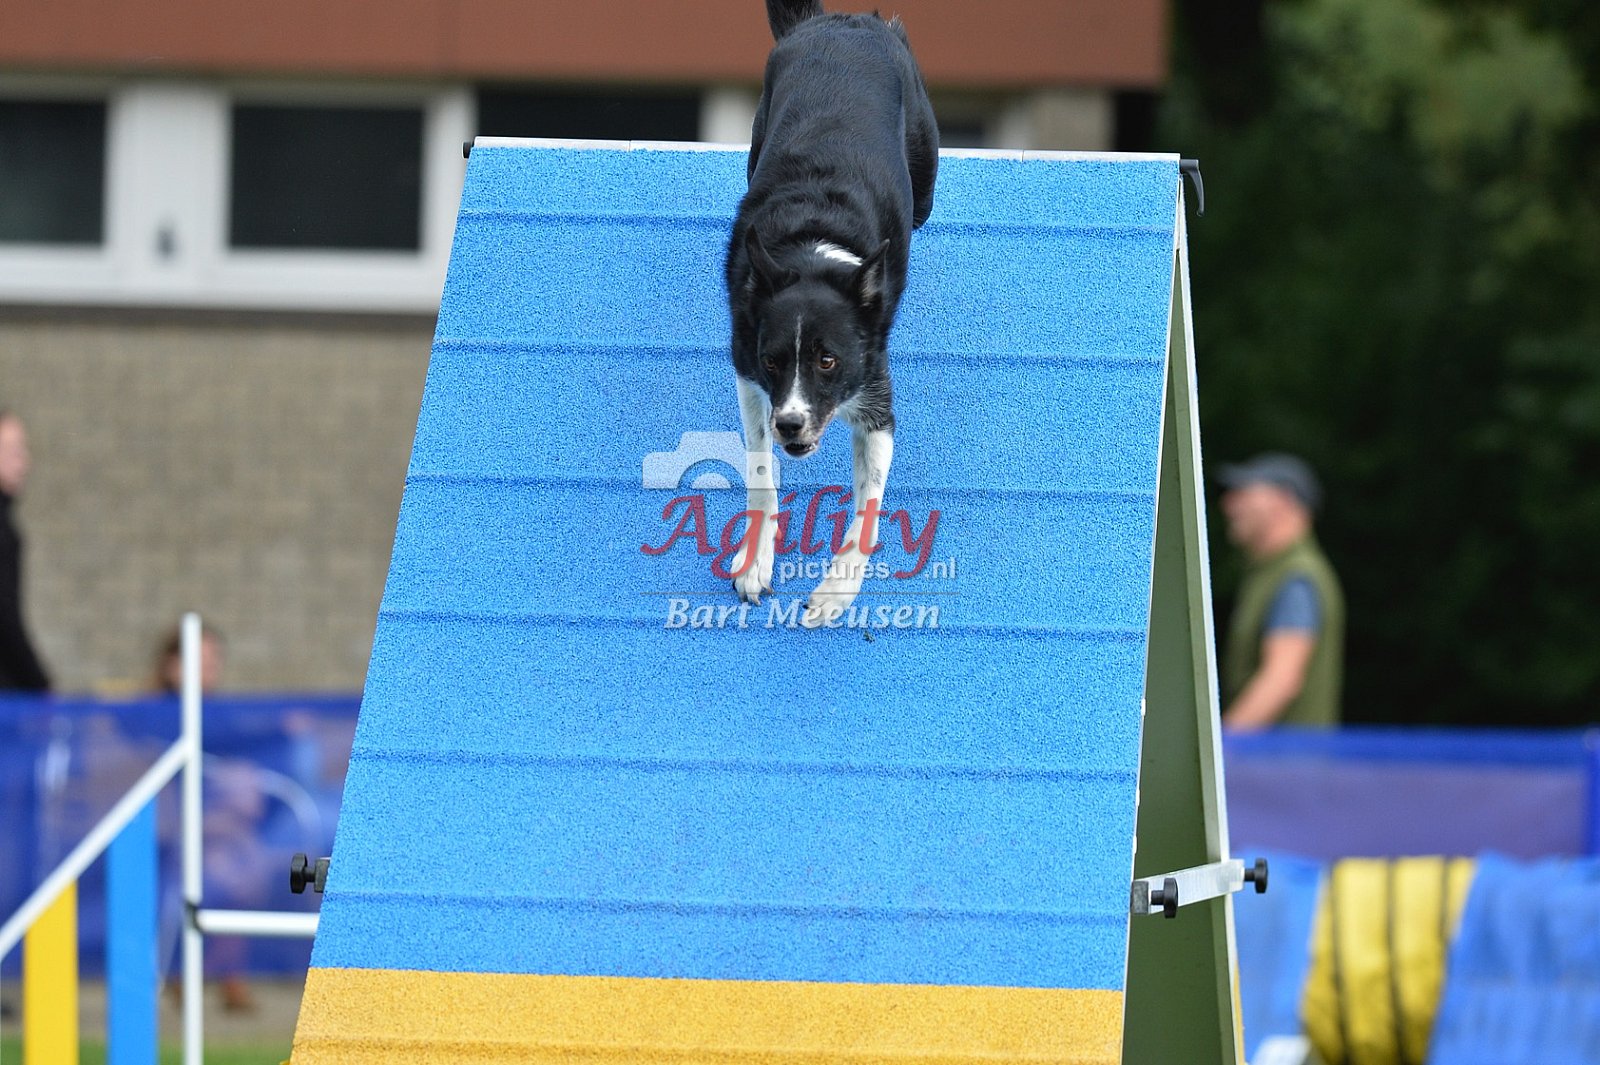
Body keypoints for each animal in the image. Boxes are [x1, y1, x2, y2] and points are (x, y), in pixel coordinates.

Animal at [726, 0, 938, 628]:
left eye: (827, 360)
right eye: (774, 360)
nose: (792, 425)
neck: (813, 250)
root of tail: (840, 20)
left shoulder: (875, 398)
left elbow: (868, 502)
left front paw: (835, 592)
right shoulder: (748, 372)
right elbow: (761, 470)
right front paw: (755, 563)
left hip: (925, 169)